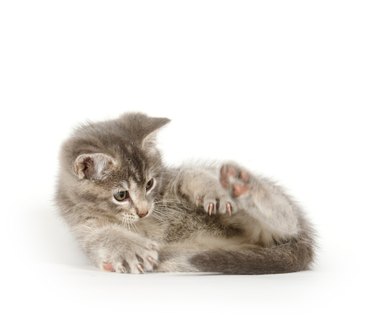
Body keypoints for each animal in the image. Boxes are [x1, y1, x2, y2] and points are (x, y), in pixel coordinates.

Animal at [55, 113, 314, 274]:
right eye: (121, 195)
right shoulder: (83, 226)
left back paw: (241, 187)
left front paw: (212, 190)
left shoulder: (169, 181)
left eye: (149, 184)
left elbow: (187, 174)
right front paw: (128, 248)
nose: (144, 211)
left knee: (285, 220)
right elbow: (101, 236)